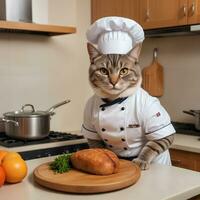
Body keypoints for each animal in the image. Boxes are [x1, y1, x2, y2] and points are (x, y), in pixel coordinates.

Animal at [81, 16, 175, 170]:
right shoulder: (90, 129)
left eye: (124, 71)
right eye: (103, 71)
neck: (114, 101)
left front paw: (141, 159)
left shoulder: (161, 131)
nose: (113, 82)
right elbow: (95, 144)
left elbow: (151, 146)